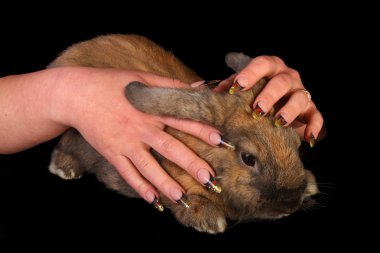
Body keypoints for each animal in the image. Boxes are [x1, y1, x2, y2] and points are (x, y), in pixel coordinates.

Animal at [48, 34, 320, 233]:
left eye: (298, 146)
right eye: (248, 159)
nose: (290, 204)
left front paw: (310, 185)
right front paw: (207, 218)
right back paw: (64, 168)